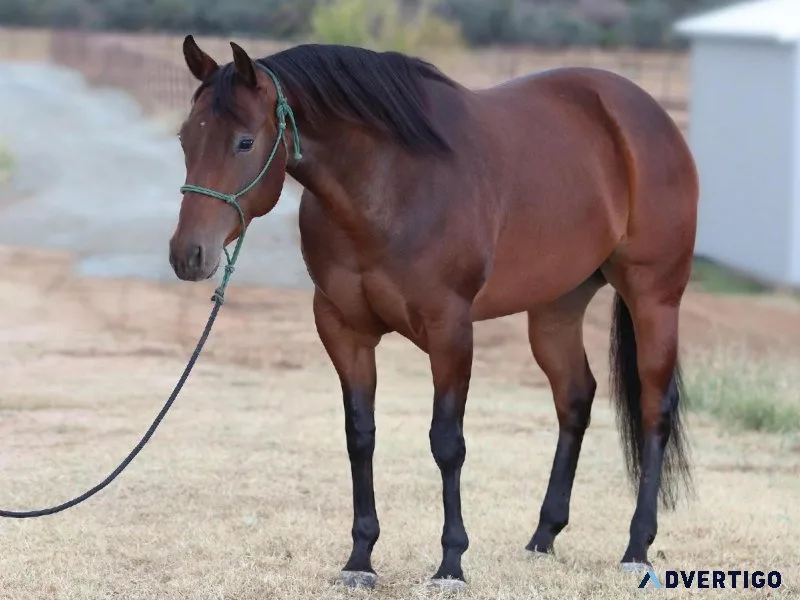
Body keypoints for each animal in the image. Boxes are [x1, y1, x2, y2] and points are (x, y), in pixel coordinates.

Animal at [168, 35, 698, 589]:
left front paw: (451, 563)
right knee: (575, 397)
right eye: (185, 138)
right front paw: (360, 559)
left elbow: (447, 442)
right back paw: (543, 537)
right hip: (557, 307)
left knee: (655, 406)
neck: (390, 184)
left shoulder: (450, 330)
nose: (188, 255)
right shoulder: (343, 329)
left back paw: (637, 547)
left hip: (654, 296)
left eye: (245, 142)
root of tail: (643, 113)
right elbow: (360, 436)